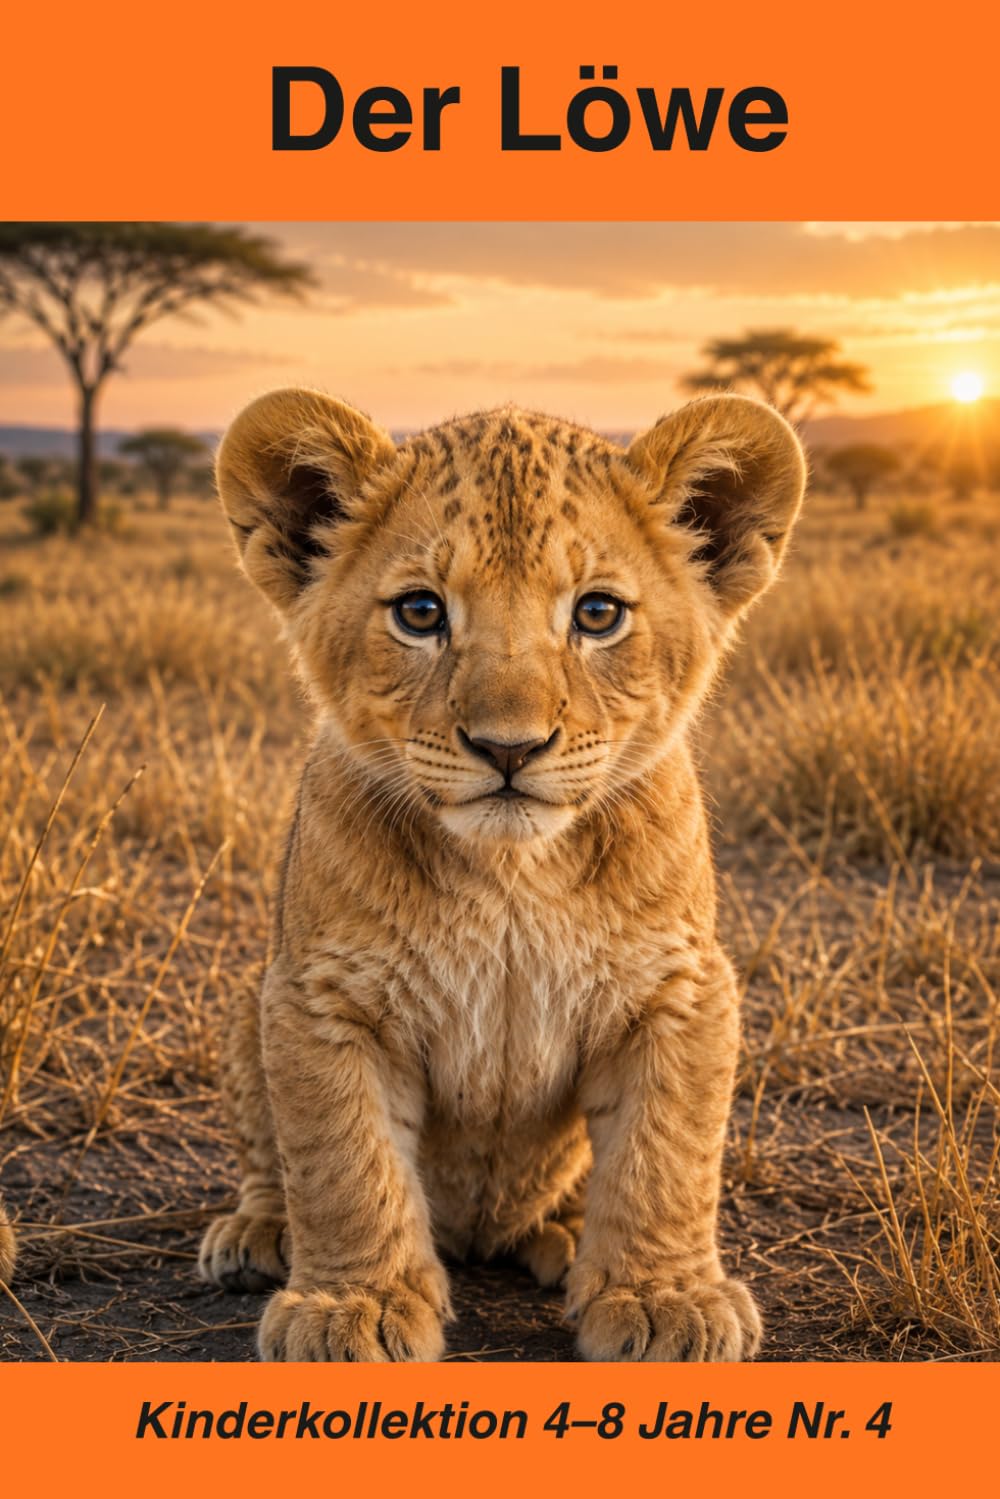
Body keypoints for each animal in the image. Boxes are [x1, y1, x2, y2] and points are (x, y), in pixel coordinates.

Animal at [199, 388, 805, 1362]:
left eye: (597, 614)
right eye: (420, 612)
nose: (509, 747)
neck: (513, 877)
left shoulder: (681, 989)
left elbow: (666, 1155)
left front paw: (663, 1298)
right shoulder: (319, 996)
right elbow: (342, 1161)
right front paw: (350, 1308)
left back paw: (563, 1233)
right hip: (245, 1002)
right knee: (270, 1157)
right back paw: (259, 1233)